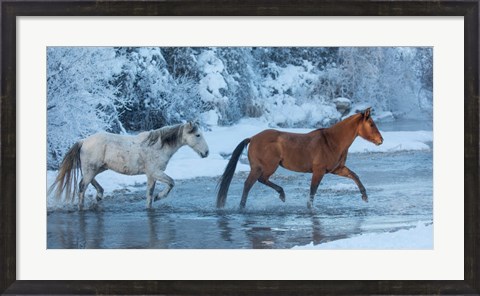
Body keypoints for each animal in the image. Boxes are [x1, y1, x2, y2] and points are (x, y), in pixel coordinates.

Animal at [48, 121, 210, 209]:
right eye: (197, 135)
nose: (206, 153)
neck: (157, 146)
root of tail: (83, 141)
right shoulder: (155, 172)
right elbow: (171, 182)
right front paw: (159, 196)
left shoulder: (151, 176)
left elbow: (149, 195)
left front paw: (152, 202)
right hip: (92, 168)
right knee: (82, 186)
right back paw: (83, 206)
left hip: (99, 168)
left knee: (87, 180)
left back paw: (100, 195)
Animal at [217, 108, 382, 208]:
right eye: (371, 124)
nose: (381, 140)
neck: (331, 141)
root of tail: (252, 138)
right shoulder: (318, 171)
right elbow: (313, 190)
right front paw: (310, 207)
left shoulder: (337, 169)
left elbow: (354, 176)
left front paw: (365, 197)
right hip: (265, 167)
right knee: (251, 183)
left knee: (256, 182)